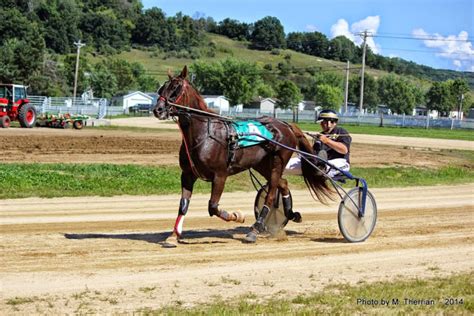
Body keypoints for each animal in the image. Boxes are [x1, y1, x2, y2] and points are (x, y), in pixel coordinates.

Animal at [154, 66, 332, 244]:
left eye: (176, 89)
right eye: (161, 89)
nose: (158, 110)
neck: (205, 134)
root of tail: (285, 124)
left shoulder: (220, 175)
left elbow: (213, 207)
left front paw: (237, 216)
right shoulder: (187, 174)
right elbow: (183, 204)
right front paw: (174, 235)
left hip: (278, 162)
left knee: (271, 195)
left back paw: (255, 229)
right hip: (262, 165)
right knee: (283, 184)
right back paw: (291, 214)